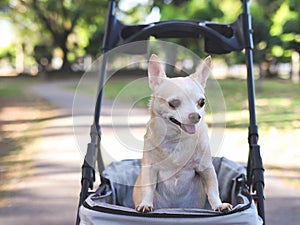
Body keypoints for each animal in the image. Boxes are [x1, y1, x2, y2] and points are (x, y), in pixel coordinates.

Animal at [132, 54, 232, 213]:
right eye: (173, 103)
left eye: (202, 102)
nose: (195, 116)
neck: (177, 138)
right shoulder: (150, 168)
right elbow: (148, 189)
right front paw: (146, 204)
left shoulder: (206, 168)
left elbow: (213, 190)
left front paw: (219, 205)